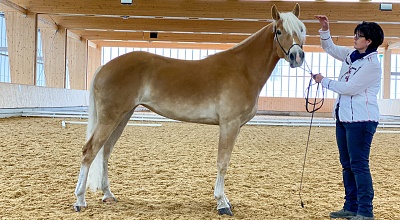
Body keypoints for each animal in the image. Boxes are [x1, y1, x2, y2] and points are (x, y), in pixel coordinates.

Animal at [74, 3, 306, 217]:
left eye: (301, 29)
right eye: (279, 31)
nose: (297, 56)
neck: (243, 69)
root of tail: (105, 67)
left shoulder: (235, 126)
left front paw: (225, 200)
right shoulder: (229, 124)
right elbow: (223, 162)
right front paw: (222, 203)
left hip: (123, 116)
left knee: (105, 151)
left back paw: (108, 194)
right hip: (110, 117)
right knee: (90, 151)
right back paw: (80, 201)